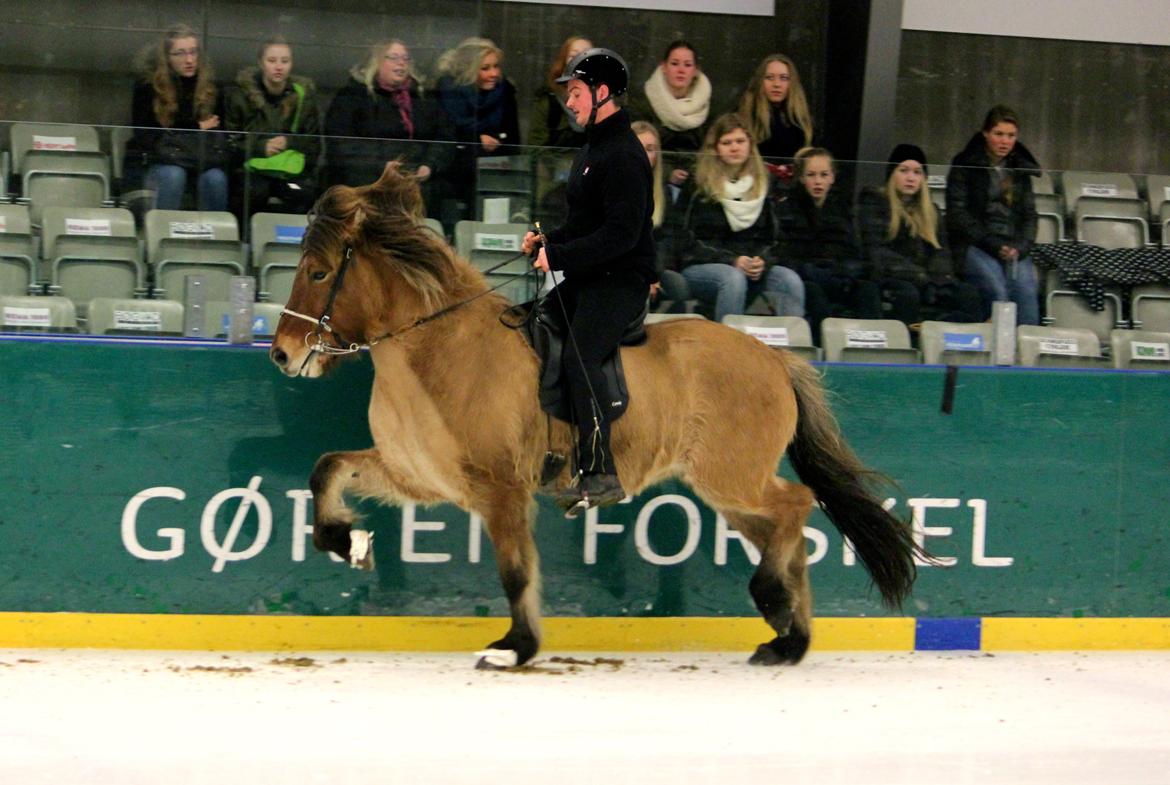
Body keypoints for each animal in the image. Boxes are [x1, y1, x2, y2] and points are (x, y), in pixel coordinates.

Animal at [269, 162, 917, 673]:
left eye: (320, 272)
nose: (283, 353)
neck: (437, 348)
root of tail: (776, 358)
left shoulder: (501, 489)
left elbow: (514, 571)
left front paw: (513, 648)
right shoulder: (421, 476)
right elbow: (327, 469)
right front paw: (348, 542)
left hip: (732, 477)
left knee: (796, 506)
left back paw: (777, 611)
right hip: (727, 488)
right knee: (784, 529)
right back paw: (788, 637)